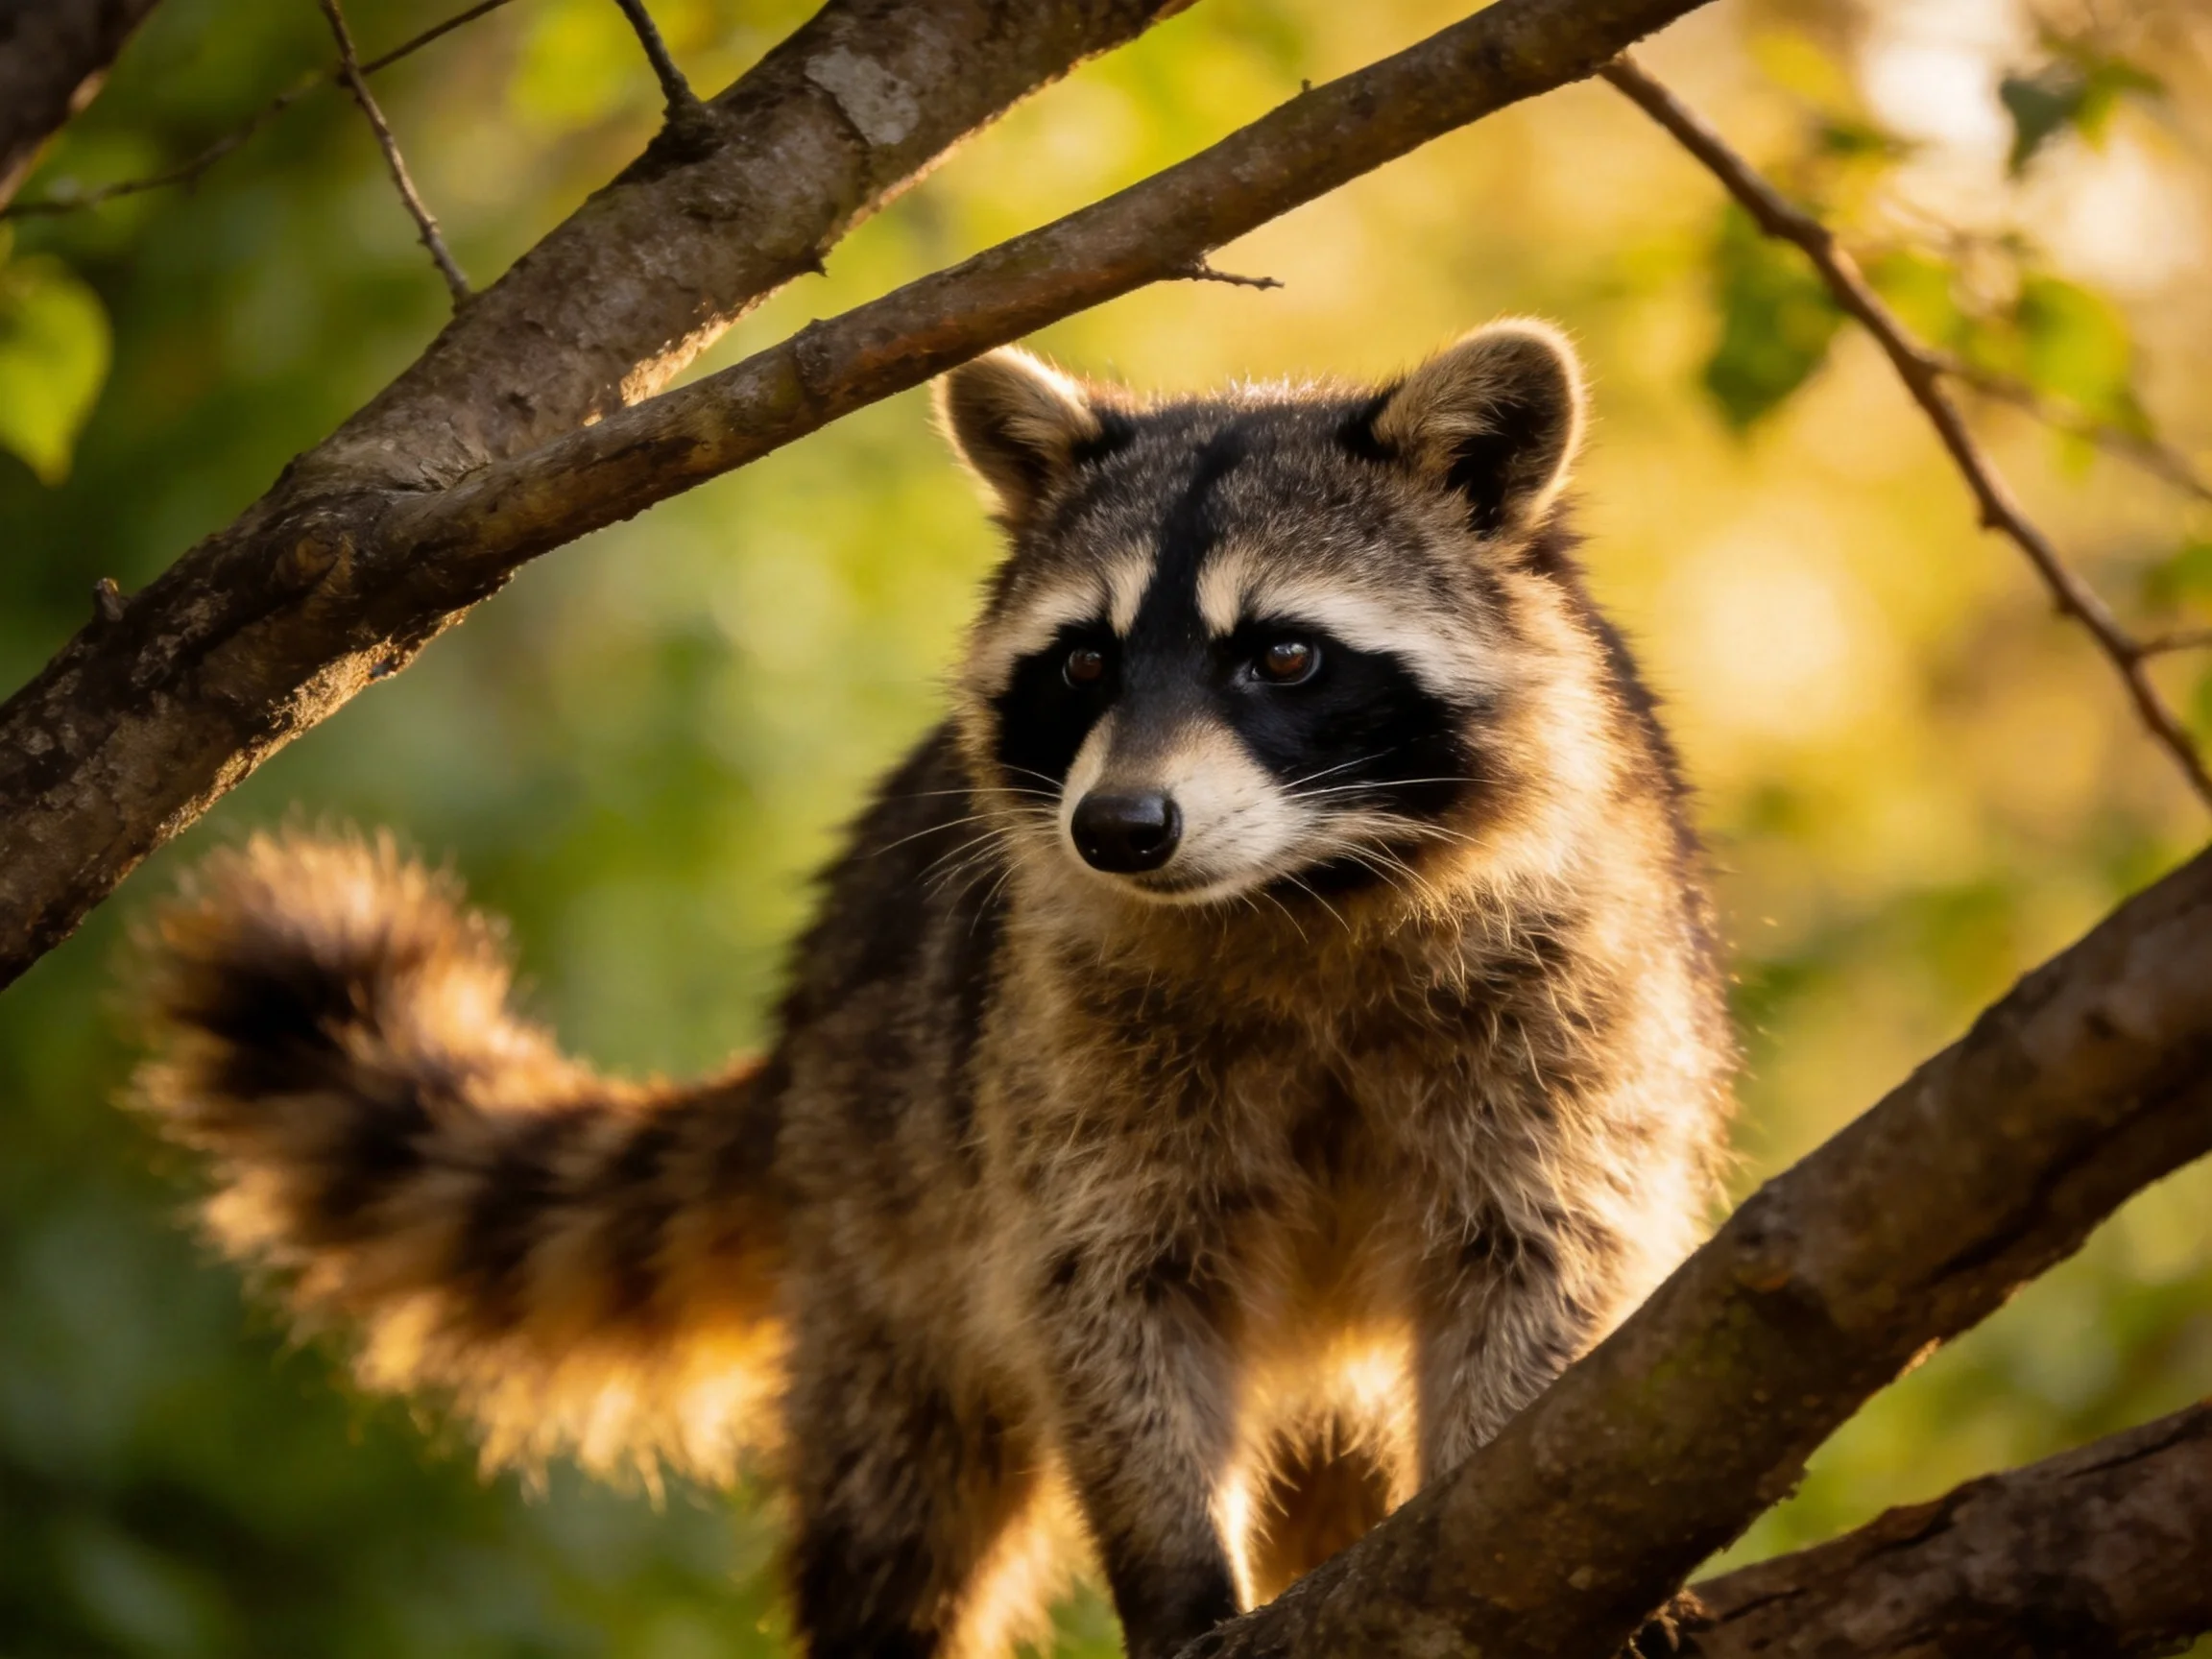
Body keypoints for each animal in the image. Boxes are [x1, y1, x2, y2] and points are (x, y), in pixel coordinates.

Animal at [133, 320, 1733, 1659]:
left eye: (1283, 653)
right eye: (1082, 662)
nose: (1120, 830)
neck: (1297, 896)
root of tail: (798, 1031)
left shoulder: (1568, 1008)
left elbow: (1533, 1270)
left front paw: (1525, 1513)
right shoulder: (1066, 1060)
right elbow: (1107, 1306)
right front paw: (1178, 1577)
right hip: (881, 1222)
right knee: (907, 1493)